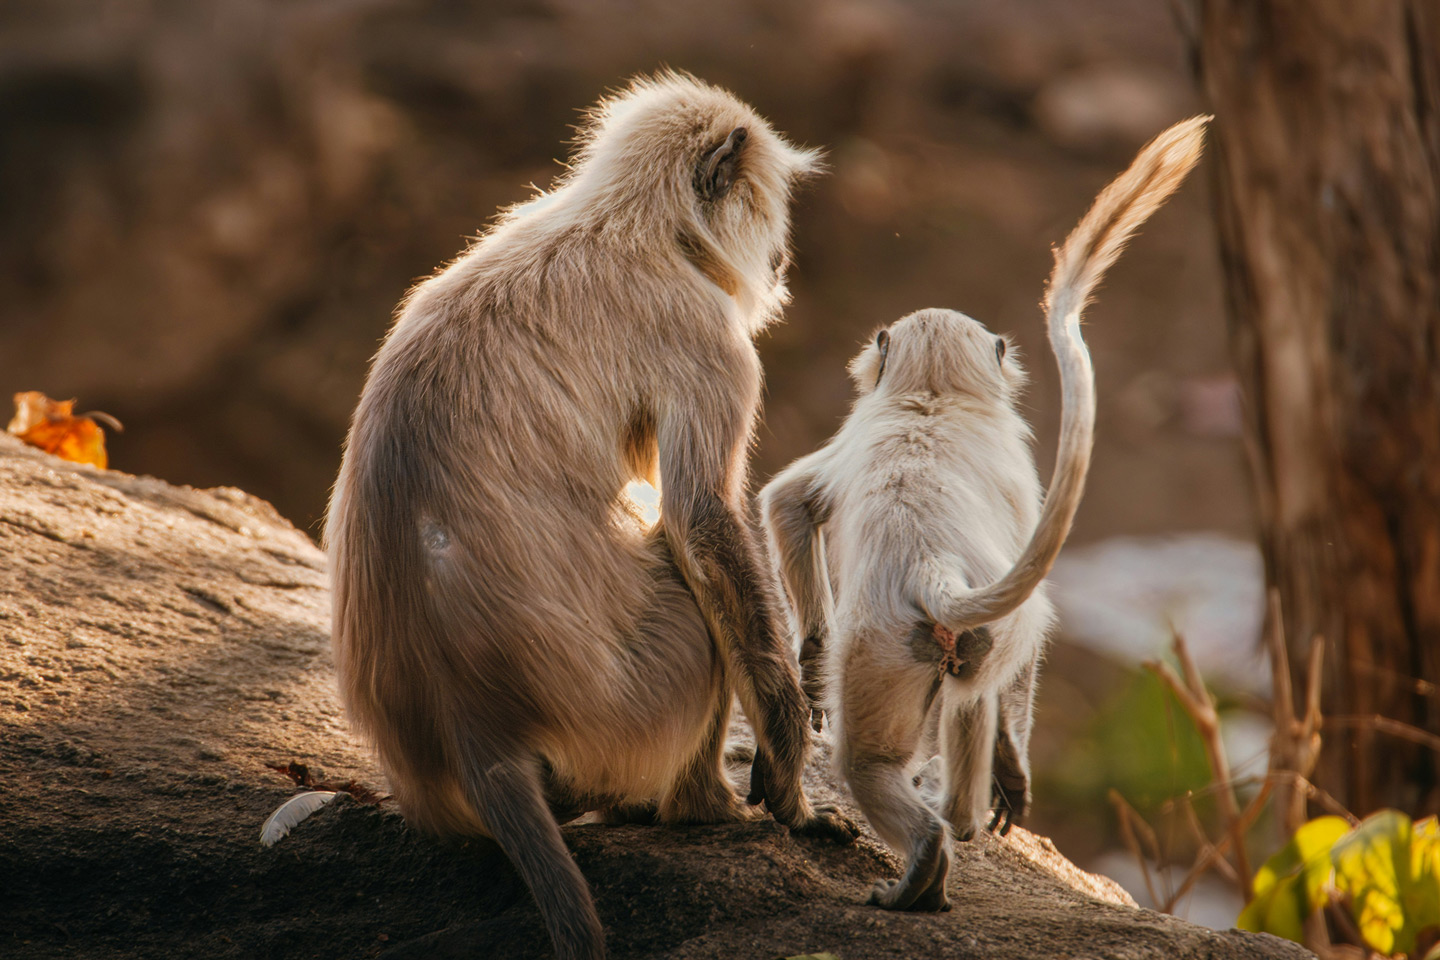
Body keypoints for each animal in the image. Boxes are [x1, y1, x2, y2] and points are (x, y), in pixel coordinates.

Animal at [326, 75, 852, 960]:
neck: (625, 223)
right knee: (686, 581)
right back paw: (697, 809)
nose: (780, 259)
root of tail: (474, 732)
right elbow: (702, 523)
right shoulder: (709, 338)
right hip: (631, 698)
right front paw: (790, 782)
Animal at [760, 116, 1209, 915]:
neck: (935, 397)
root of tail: (930, 564)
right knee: (972, 693)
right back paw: (953, 829)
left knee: (871, 758)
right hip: (959, 636)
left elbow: (787, 503)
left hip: (880, 644)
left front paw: (809, 665)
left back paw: (933, 844)